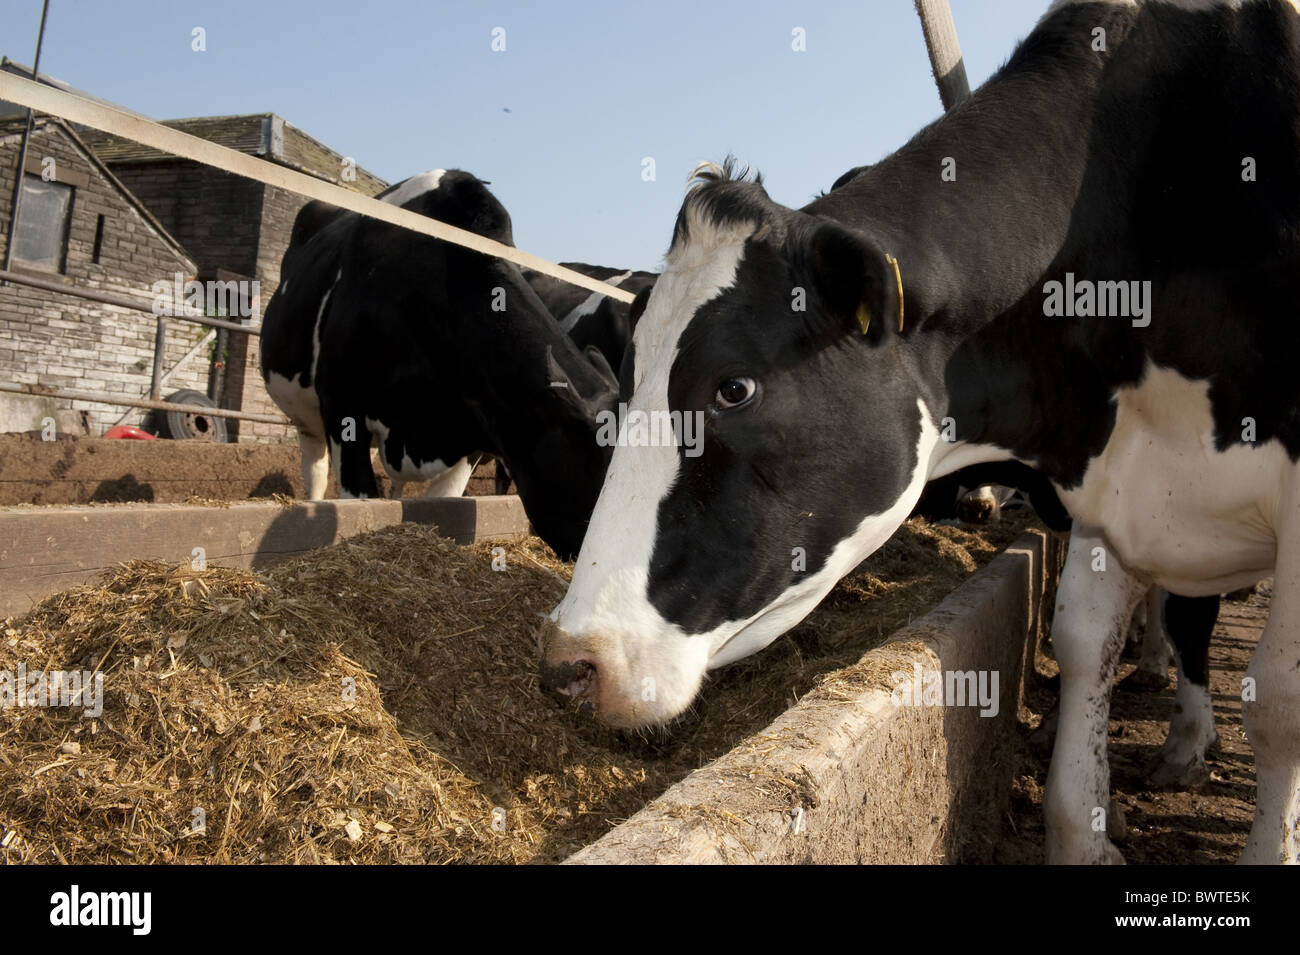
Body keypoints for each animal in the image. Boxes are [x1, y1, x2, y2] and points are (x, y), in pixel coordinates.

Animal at [539, 0, 1300, 864]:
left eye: (734, 387)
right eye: (627, 379)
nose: (570, 663)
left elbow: (1279, 699)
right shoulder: (1108, 476)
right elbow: (1082, 642)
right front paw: (1089, 833)